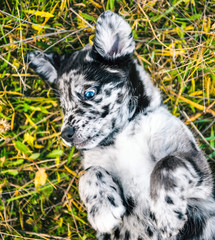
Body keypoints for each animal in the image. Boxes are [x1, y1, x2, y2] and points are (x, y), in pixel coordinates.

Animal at [25, 11, 215, 240]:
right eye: (63, 107)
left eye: (89, 93)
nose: (65, 134)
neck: (122, 134)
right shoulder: (95, 163)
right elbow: (88, 174)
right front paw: (102, 211)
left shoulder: (198, 172)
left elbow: (167, 163)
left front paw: (166, 213)